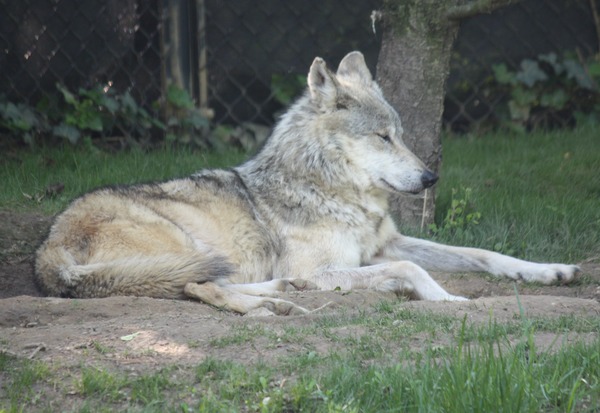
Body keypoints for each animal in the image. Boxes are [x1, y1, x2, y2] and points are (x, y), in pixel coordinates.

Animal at [35, 52, 580, 316]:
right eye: (382, 137)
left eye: (402, 134)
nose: (431, 177)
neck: (335, 194)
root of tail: (47, 250)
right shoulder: (339, 263)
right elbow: (414, 269)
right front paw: (448, 300)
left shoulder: (382, 247)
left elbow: (484, 255)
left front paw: (550, 271)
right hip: (187, 243)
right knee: (195, 285)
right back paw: (273, 305)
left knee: (208, 283)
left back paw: (281, 294)